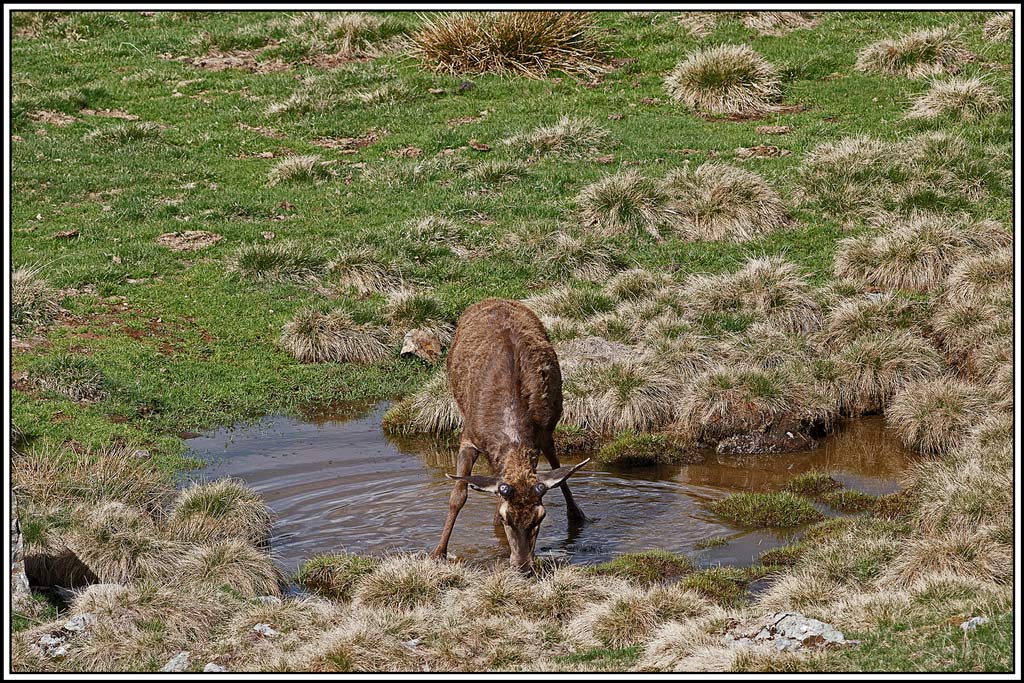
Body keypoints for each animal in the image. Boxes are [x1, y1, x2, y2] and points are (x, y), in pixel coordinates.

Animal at [431, 298, 588, 574]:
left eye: (541, 517)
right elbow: (457, 496)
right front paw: (438, 552)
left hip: (550, 427)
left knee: (557, 465)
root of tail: (495, 299)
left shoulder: (539, 436)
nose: (523, 565)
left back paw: (576, 514)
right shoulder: (469, 436)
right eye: (507, 518)